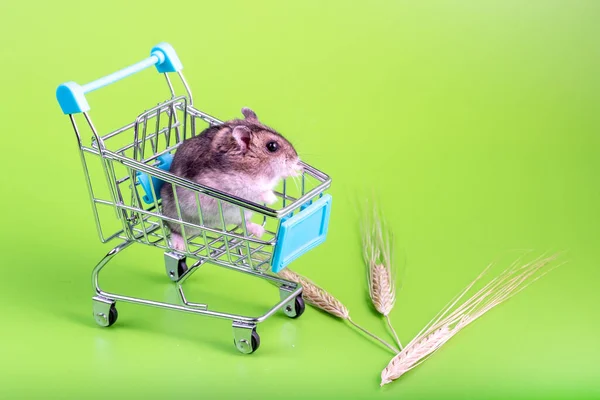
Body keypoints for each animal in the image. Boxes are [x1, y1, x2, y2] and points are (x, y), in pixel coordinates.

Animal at [161, 106, 302, 250]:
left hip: (242, 214)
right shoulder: (225, 188)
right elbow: (254, 190)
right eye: (272, 146)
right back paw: (179, 246)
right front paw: (273, 199)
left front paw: (298, 170)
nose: (297, 158)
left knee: (242, 223)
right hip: (175, 215)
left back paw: (259, 231)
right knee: (174, 228)